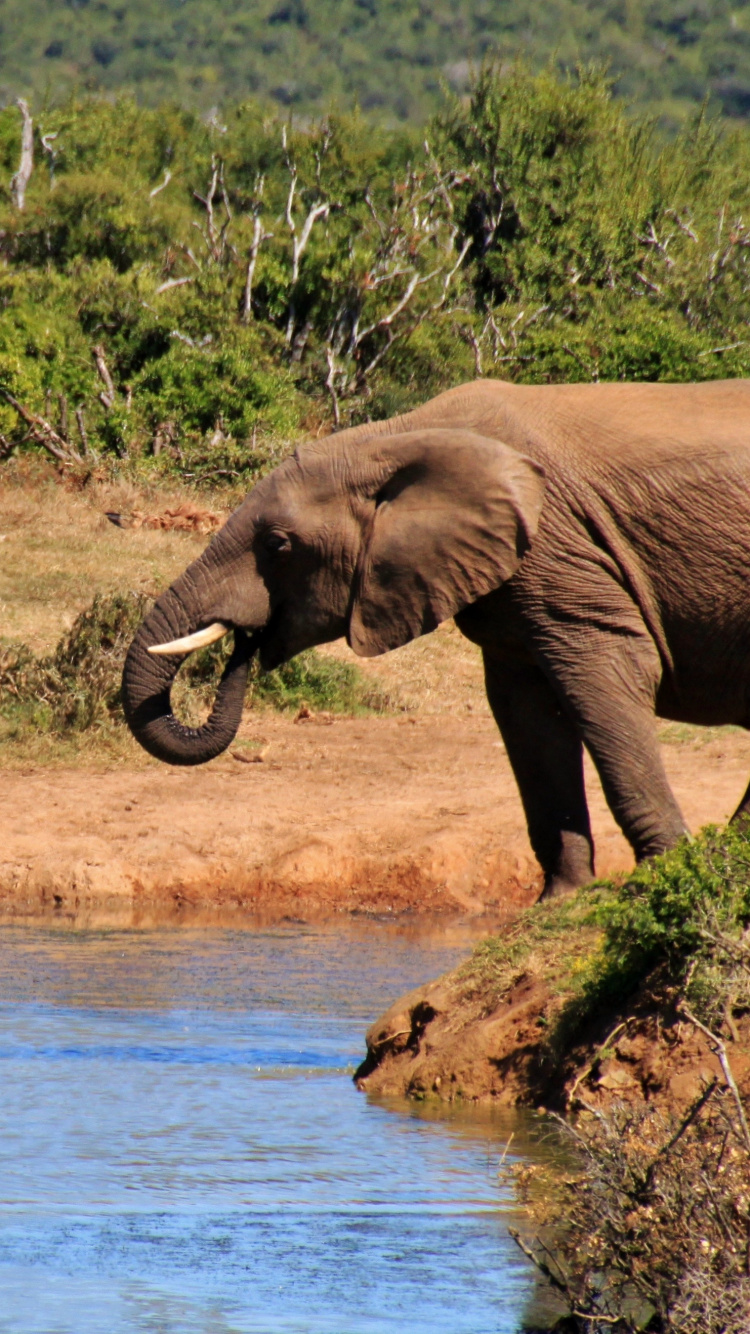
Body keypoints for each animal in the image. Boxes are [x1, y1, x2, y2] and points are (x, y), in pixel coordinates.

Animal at [119, 376, 747, 896]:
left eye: (277, 545)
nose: (247, 641)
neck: (395, 437)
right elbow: (526, 714)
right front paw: (560, 901)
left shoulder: (562, 553)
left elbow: (609, 677)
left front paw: (664, 875)